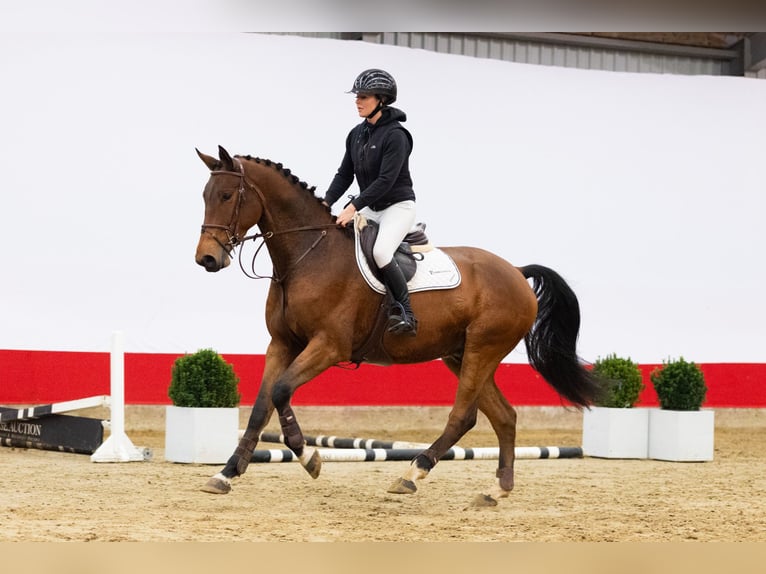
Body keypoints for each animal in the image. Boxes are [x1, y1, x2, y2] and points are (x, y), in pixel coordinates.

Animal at [194, 145, 604, 507]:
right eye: (205, 195)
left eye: (227, 195)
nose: (207, 259)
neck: (308, 255)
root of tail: (517, 272)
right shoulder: (281, 344)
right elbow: (261, 408)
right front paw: (226, 474)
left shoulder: (328, 346)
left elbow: (281, 392)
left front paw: (310, 458)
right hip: (461, 354)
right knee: (503, 417)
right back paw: (495, 491)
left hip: (482, 350)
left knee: (463, 416)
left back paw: (411, 474)